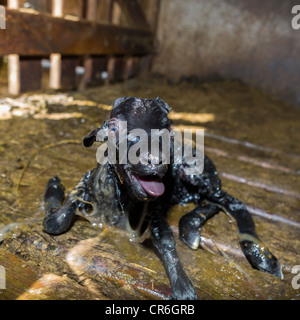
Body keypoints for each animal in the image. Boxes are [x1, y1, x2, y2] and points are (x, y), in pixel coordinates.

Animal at [42, 97, 284, 300]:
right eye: (113, 127)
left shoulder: (155, 210)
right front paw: (54, 187)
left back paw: (259, 254)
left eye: (168, 129)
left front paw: (183, 288)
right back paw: (190, 228)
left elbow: (165, 239)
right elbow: (55, 220)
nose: (154, 159)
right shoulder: (88, 181)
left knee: (229, 201)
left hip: (197, 172)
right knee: (211, 202)